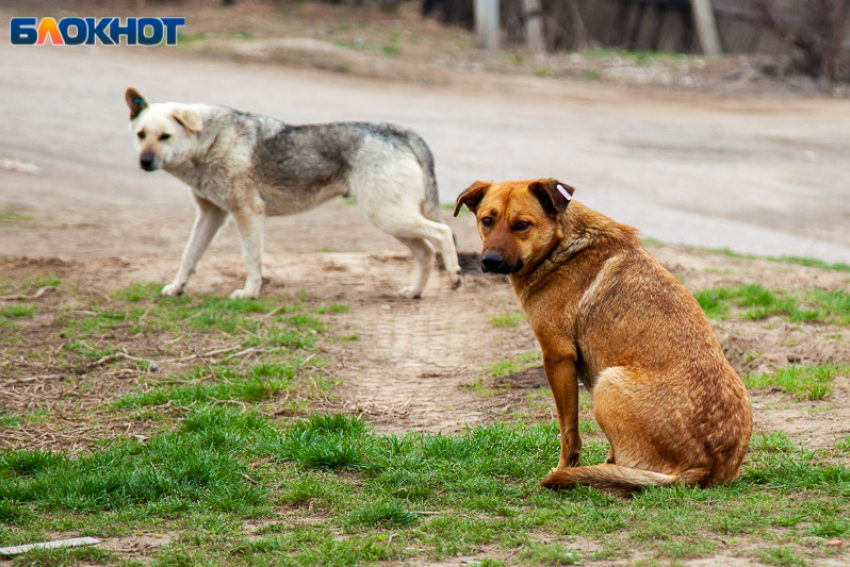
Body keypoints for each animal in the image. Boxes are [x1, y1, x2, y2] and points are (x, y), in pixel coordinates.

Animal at [122, 87, 460, 300]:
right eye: (141, 135)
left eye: (165, 137)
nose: (144, 162)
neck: (210, 141)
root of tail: (405, 133)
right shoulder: (211, 215)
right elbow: (189, 256)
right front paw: (176, 289)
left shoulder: (246, 213)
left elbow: (250, 260)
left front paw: (248, 294)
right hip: (393, 222)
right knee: (426, 252)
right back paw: (414, 293)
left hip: (388, 218)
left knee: (443, 234)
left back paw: (455, 277)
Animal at [454, 179, 752, 496]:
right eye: (487, 220)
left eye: (522, 225)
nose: (490, 261)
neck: (562, 245)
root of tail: (707, 469)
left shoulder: (557, 357)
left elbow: (568, 431)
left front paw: (564, 469)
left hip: (606, 384)